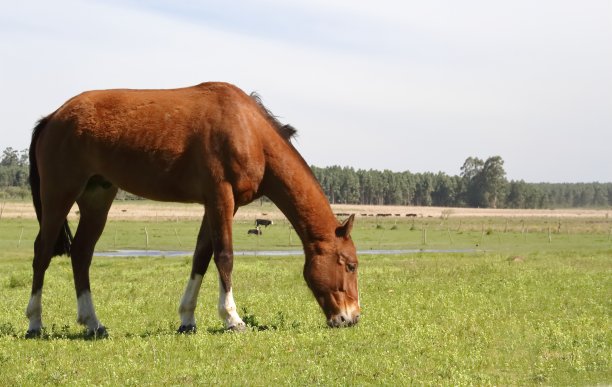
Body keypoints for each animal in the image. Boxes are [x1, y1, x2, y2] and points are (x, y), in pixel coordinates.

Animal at [26, 82, 360, 340]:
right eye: (351, 265)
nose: (352, 318)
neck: (249, 130)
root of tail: (53, 117)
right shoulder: (220, 197)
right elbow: (224, 256)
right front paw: (232, 318)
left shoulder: (220, 204)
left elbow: (202, 255)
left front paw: (187, 319)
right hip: (59, 194)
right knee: (42, 252)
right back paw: (34, 322)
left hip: (96, 197)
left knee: (81, 254)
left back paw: (93, 323)